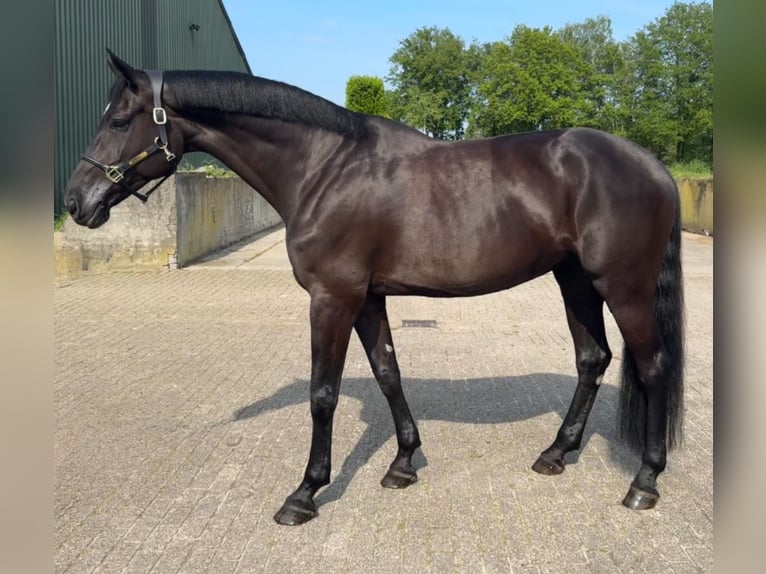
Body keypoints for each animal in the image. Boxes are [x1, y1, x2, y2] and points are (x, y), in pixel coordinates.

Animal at [64, 53, 684, 528]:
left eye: (119, 121)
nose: (75, 202)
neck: (324, 169)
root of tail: (651, 163)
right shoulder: (366, 298)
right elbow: (388, 372)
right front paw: (403, 463)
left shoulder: (331, 298)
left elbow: (323, 394)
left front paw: (304, 494)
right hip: (574, 280)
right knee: (592, 358)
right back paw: (555, 453)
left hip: (622, 288)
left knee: (653, 366)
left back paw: (644, 482)